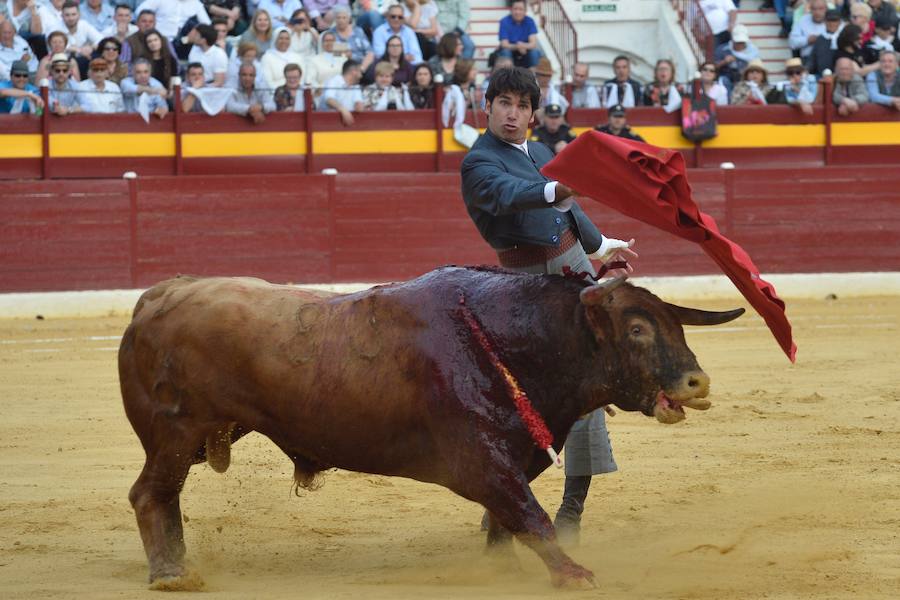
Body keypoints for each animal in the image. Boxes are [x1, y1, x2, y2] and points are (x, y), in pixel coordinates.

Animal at [119, 264, 740, 588]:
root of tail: (158, 295)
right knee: (150, 493)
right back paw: (170, 573)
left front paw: (501, 570)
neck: (511, 342)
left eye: (673, 324)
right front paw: (572, 575)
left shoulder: (512, 456)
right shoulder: (482, 461)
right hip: (175, 434)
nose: (697, 381)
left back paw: (178, 564)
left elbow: (506, 522)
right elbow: (529, 516)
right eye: (636, 329)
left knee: (165, 495)